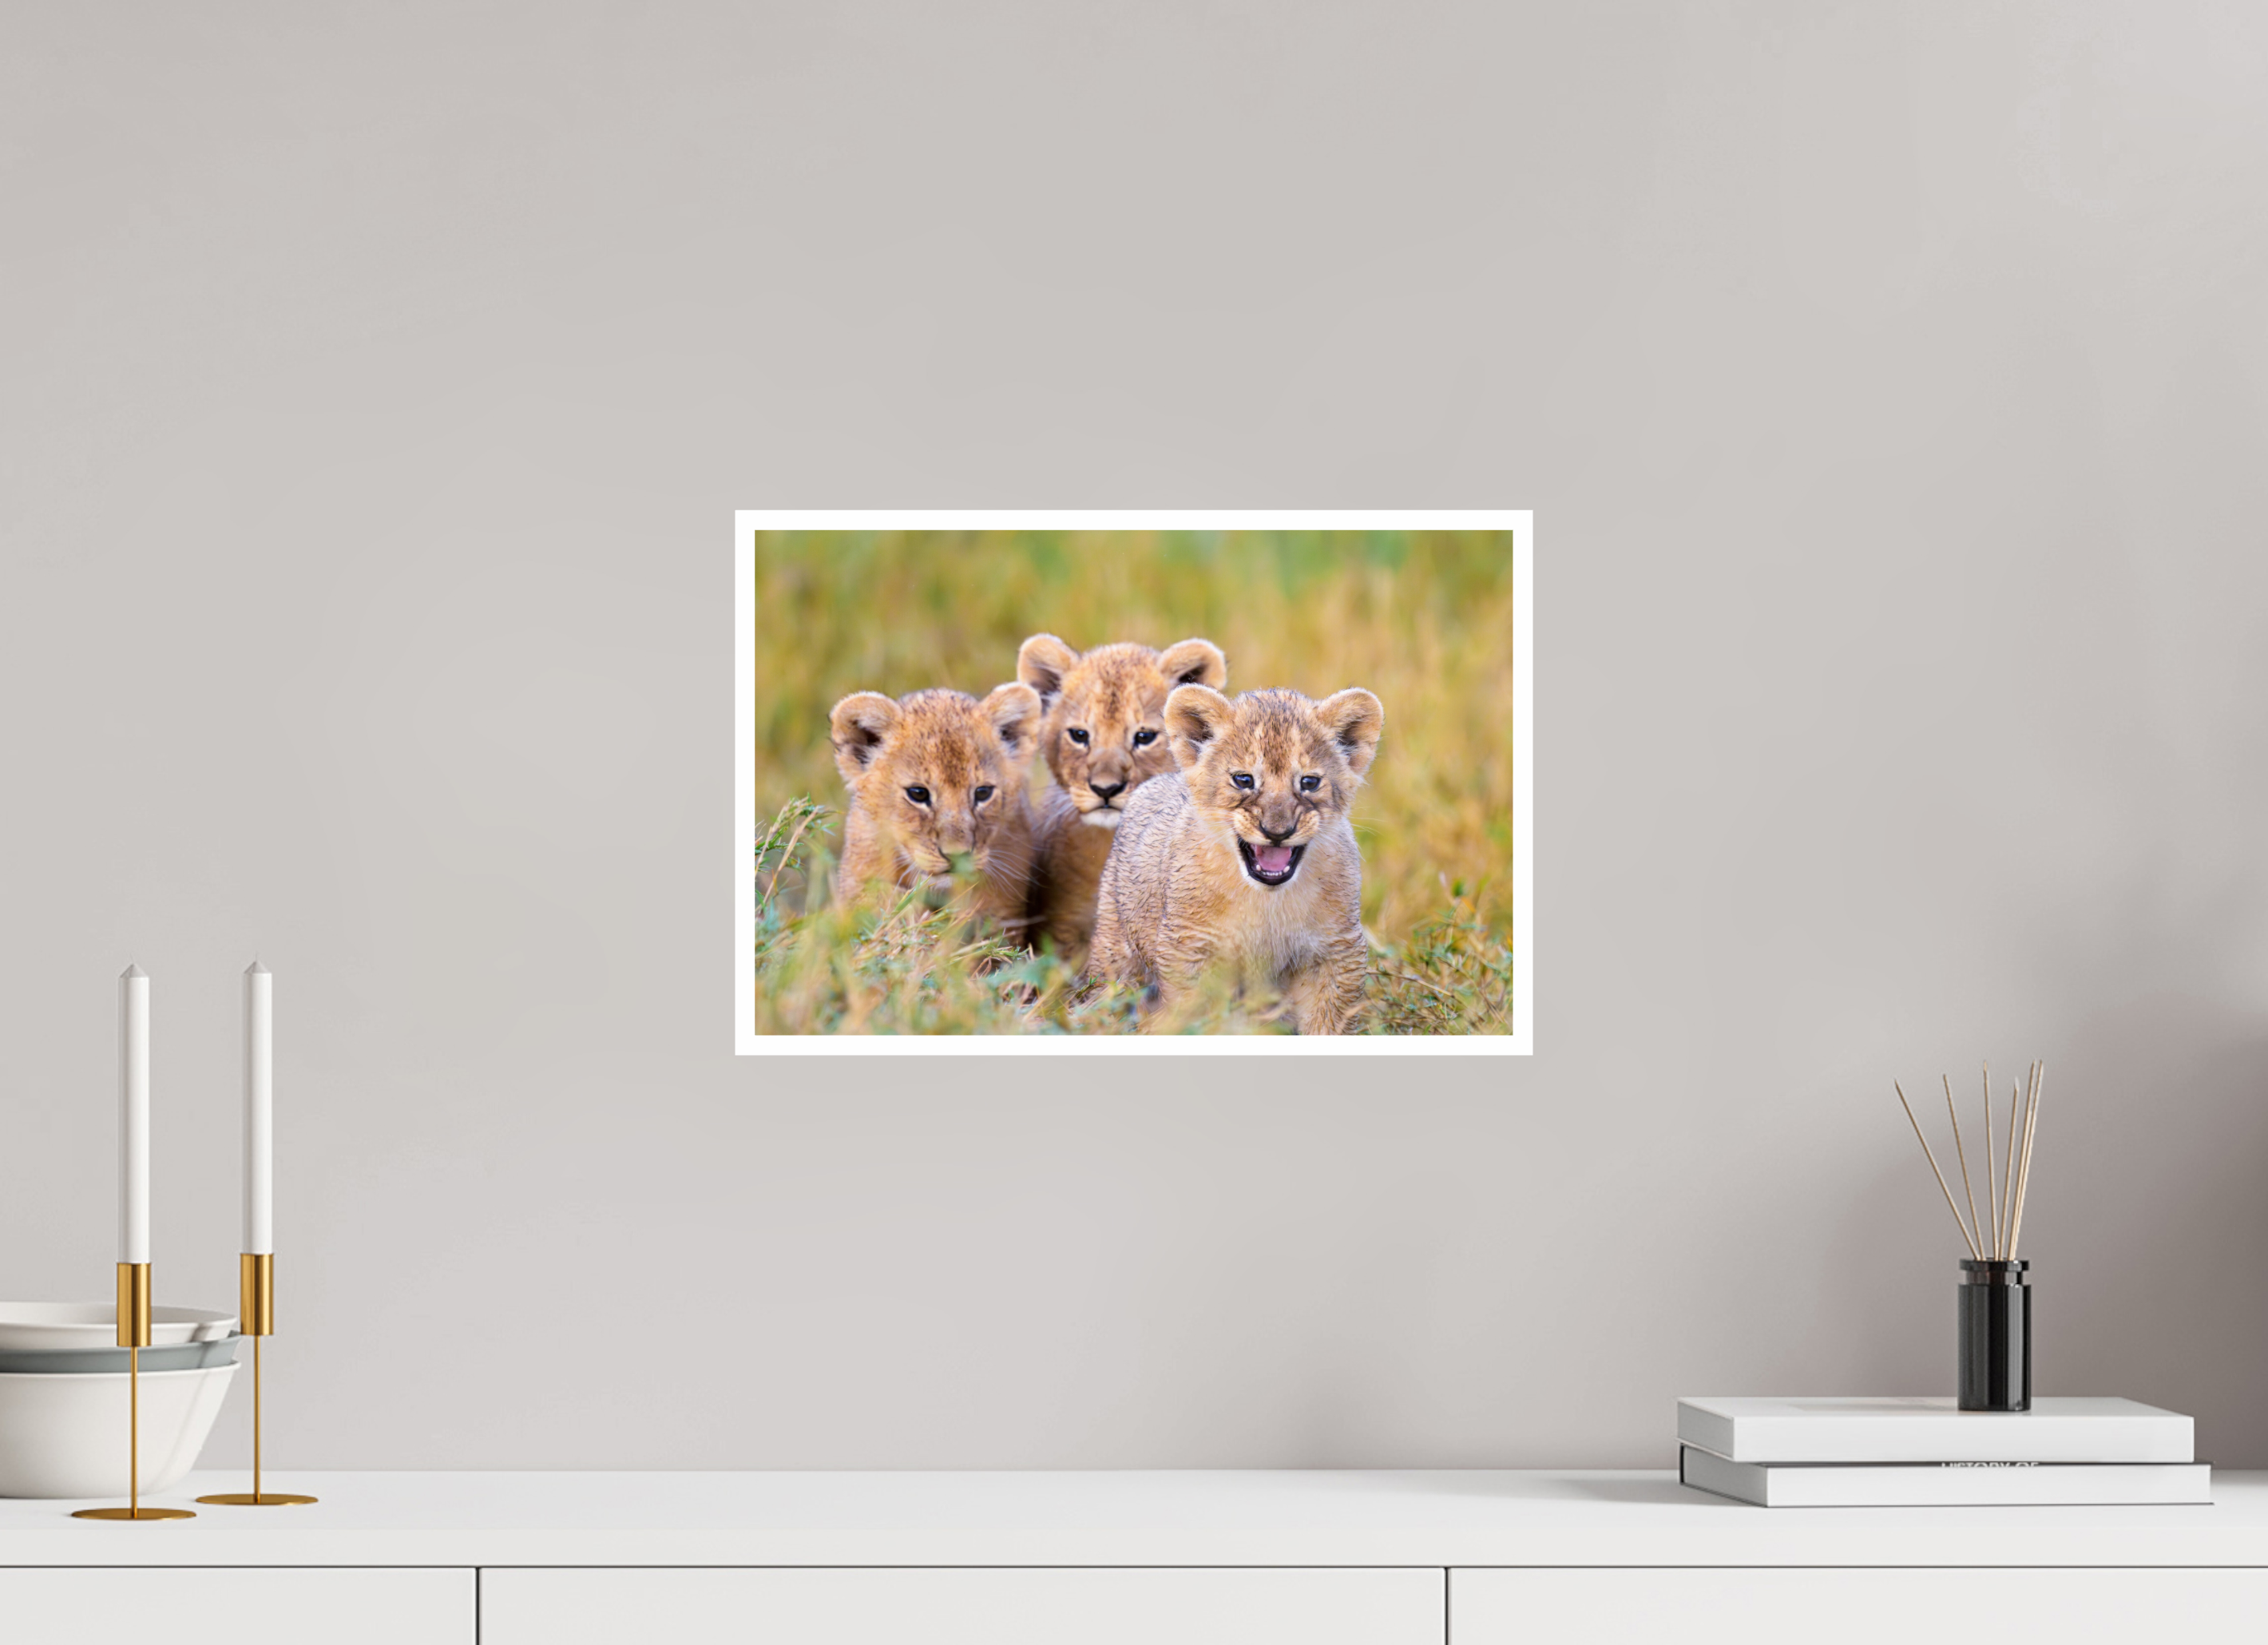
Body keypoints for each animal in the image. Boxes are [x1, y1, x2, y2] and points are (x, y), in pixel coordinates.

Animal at [1089, 683, 1385, 1034]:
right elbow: (1197, 1019)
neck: (1267, 902)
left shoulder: (1336, 950)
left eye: (1309, 782)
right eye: (1244, 780)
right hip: (1115, 952)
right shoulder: (1189, 948)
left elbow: (1329, 1024)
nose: (1277, 831)